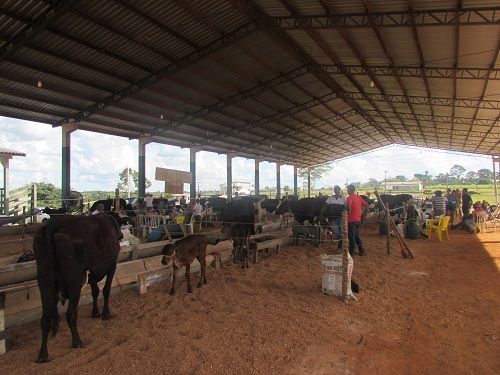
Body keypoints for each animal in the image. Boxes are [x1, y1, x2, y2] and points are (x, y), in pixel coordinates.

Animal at [33, 213, 121, 362]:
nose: (120, 235)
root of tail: (52, 224)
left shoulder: (92, 275)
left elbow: (95, 291)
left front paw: (95, 312)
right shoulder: (112, 265)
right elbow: (106, 290)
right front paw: (105, 314)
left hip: (44, 283)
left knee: (45, 319)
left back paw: (43, 355)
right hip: (74, 281)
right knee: (70, 313)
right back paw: (77, 342)